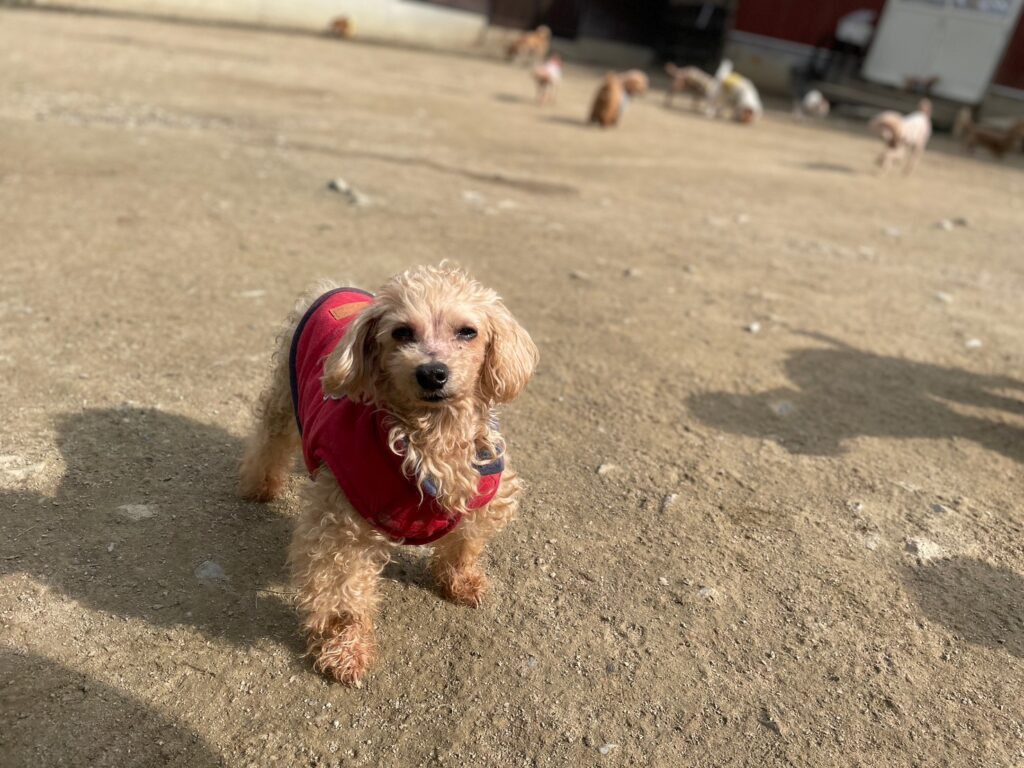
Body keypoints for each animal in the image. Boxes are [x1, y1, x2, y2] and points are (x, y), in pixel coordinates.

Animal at [239, 264, 539, 685]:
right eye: (402, 332)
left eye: (467, 332)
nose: (432, 373)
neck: (432, 438)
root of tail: (334, 285)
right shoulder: (341, 527)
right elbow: (343, 594)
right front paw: (345, 650)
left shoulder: (485, 493)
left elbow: (465, 543)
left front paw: (460, 581)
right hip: (284, 393)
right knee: (270, 436)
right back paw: (259, 484)